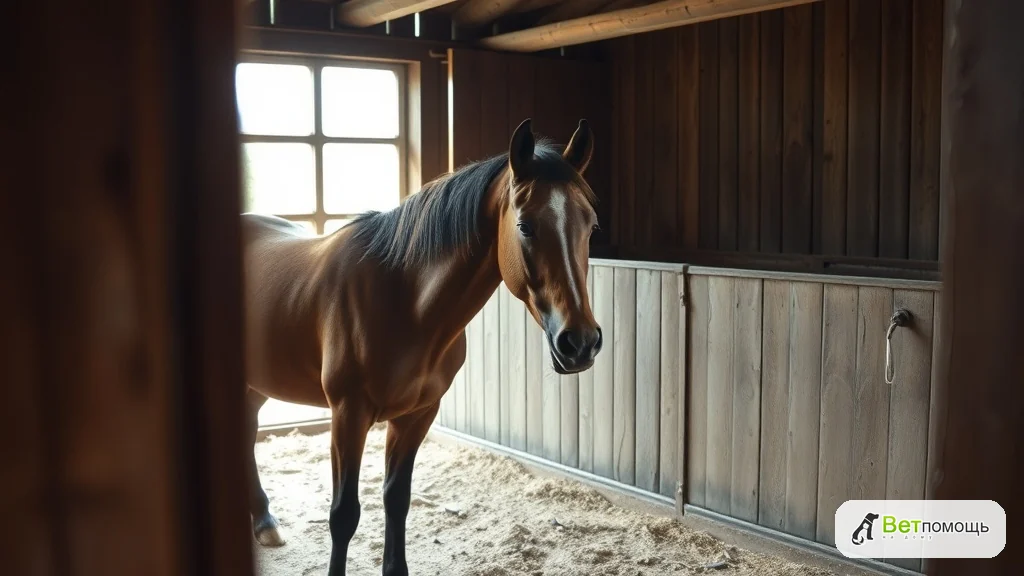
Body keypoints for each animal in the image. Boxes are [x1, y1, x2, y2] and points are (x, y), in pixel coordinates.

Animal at [240, 118, 603, 576]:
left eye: (591, 225)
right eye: (525, 226)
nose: (581, 342)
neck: (404, 301)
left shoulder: (416, 415)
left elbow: (397, 499)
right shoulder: (348, 415)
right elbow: (344, 515)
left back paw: (263, 520)